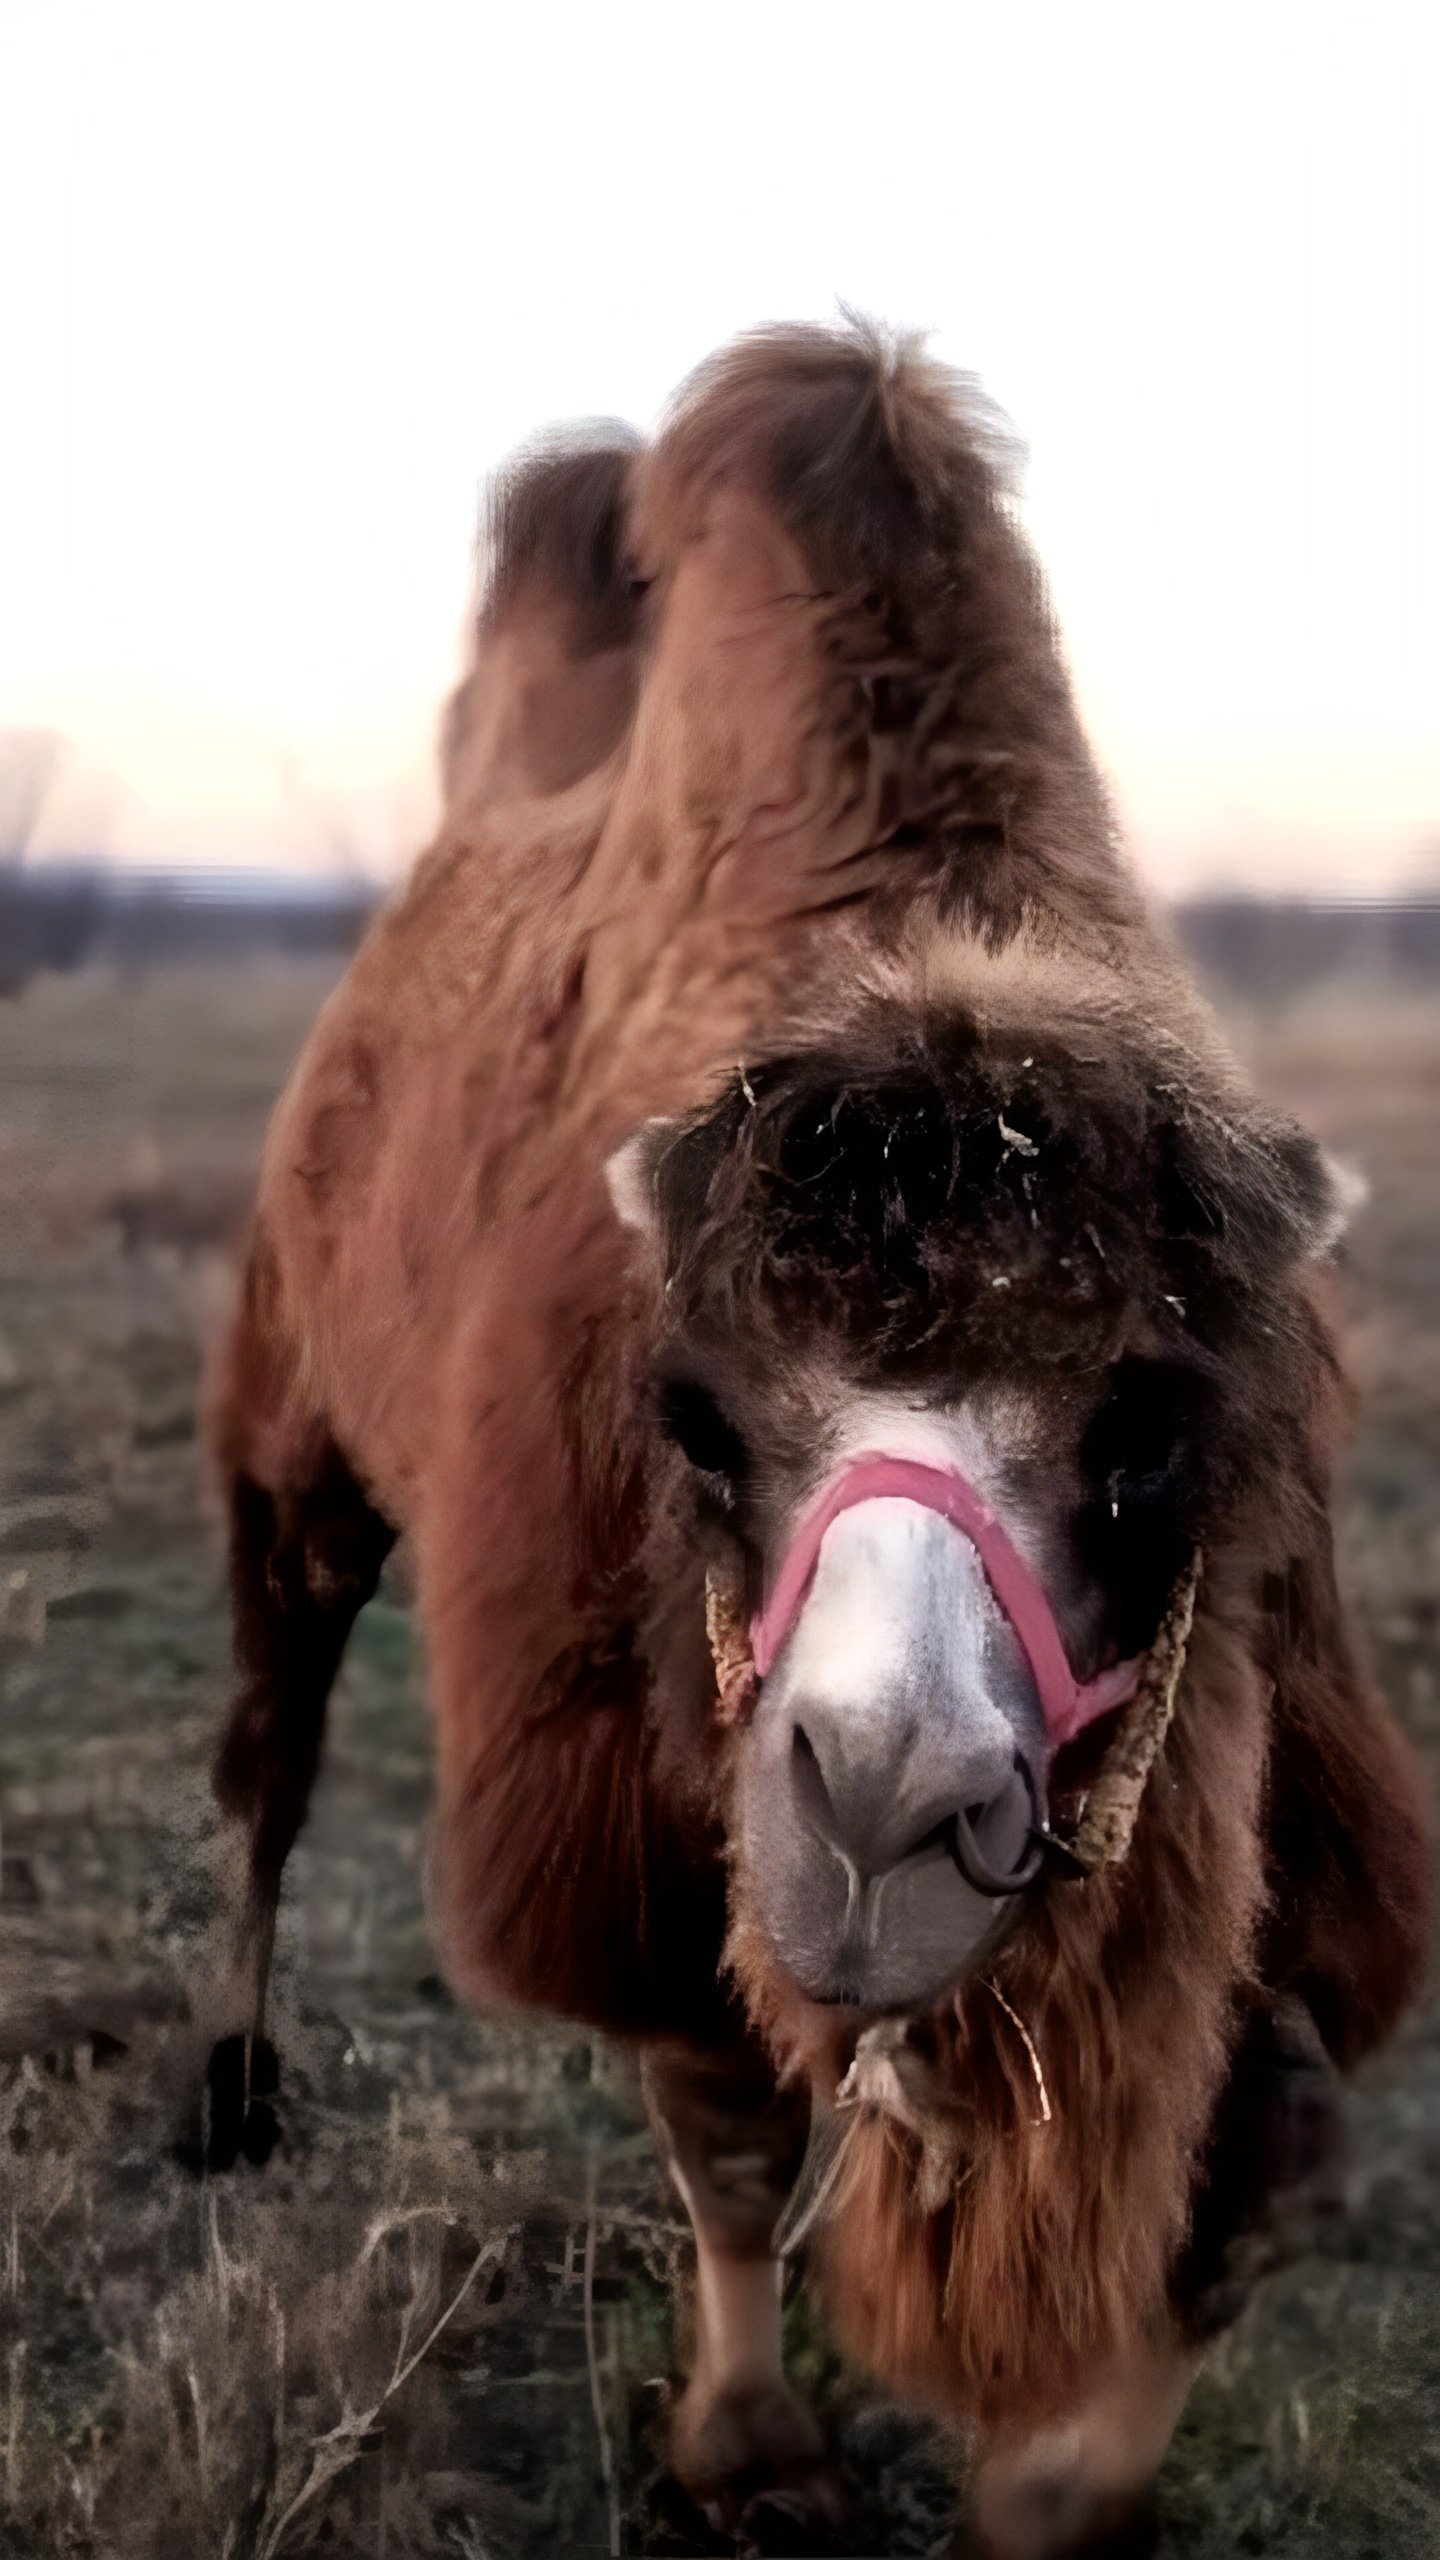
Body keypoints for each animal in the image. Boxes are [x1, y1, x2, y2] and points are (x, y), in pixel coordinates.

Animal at [198, 330, 1424, 2549]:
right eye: (693, 1422)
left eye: (1155, 1439)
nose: (885, 1799)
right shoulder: (621, 1795)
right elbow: (729, 2117)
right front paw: (750, 2447)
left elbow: (1253, 2171)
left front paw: (1059, 2487)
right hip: (290, 1409)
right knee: (273, 1730)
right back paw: (229, 2088)